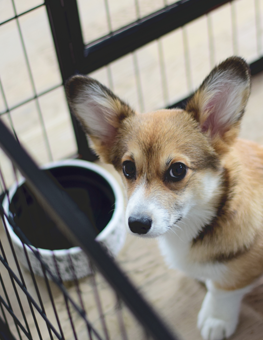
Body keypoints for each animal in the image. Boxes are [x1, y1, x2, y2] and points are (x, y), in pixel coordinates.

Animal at [65, 57, 263, 340]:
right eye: (127, 168)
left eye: (177, 170)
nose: (136, 224)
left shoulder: (242, 269)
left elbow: (223, 287)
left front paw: (216, 318)